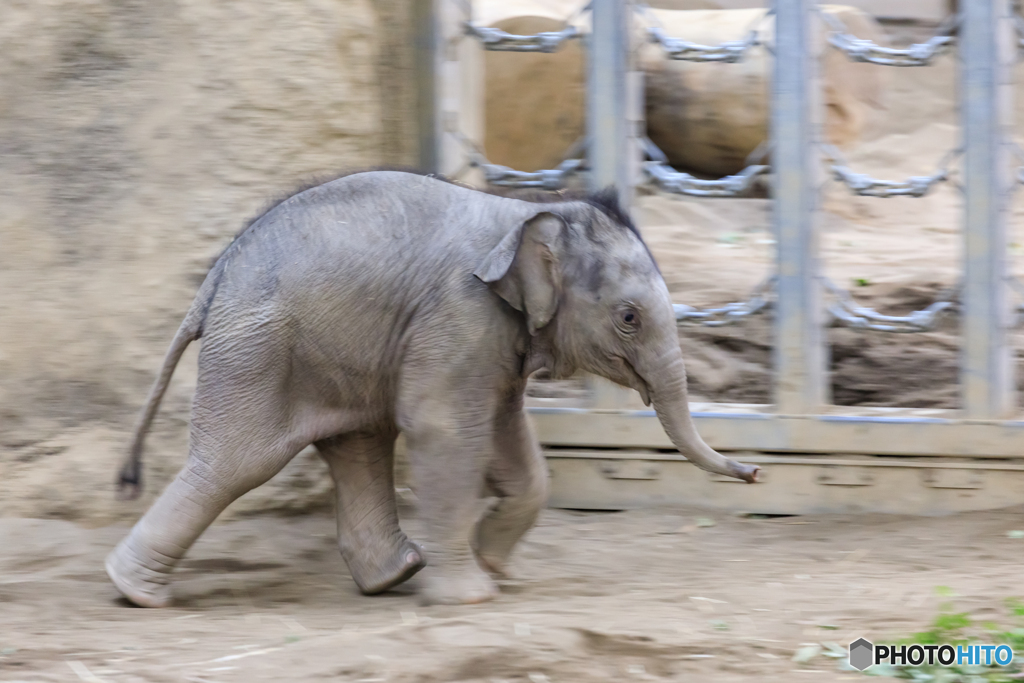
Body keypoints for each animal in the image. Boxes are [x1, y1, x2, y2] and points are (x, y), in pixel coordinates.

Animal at [105, 171, 761, 610]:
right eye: (629, 318)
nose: (754, 471)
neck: (526, 211)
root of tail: (214, 279)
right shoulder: (462, 314)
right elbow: (446, 428)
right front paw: (472, 597)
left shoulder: (495, 338)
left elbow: (508, 438)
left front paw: (493, 564)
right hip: (257, 352)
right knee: (235, 464)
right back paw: (135, 593)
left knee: (359, 446)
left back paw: (395, 576)